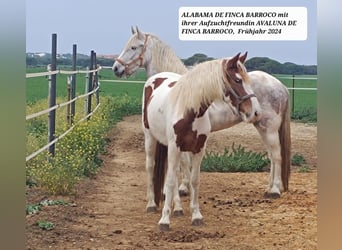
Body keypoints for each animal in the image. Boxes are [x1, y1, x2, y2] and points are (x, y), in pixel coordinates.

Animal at [113, 26, 290, 199]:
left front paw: (182, 188)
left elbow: (184, 161)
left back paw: (275, 190)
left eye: (133, 47)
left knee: (276, 155)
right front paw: (183, 187)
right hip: (261, 126)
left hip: (270, 128)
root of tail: (281, 86)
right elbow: (185, 161)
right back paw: (269, 188)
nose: (116, 68)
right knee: (271, 156)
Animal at [142, 54, 260, 230]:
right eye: (238, 80)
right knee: (151, 167)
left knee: (175, 173)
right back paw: (151, 204)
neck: (189, 111)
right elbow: (169, 182)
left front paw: (196, 215)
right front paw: (164, 220)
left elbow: (194, 180)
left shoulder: (198, 149)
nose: (256, 113)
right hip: (150, 137)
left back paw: (178, 208)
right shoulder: (174, 147)